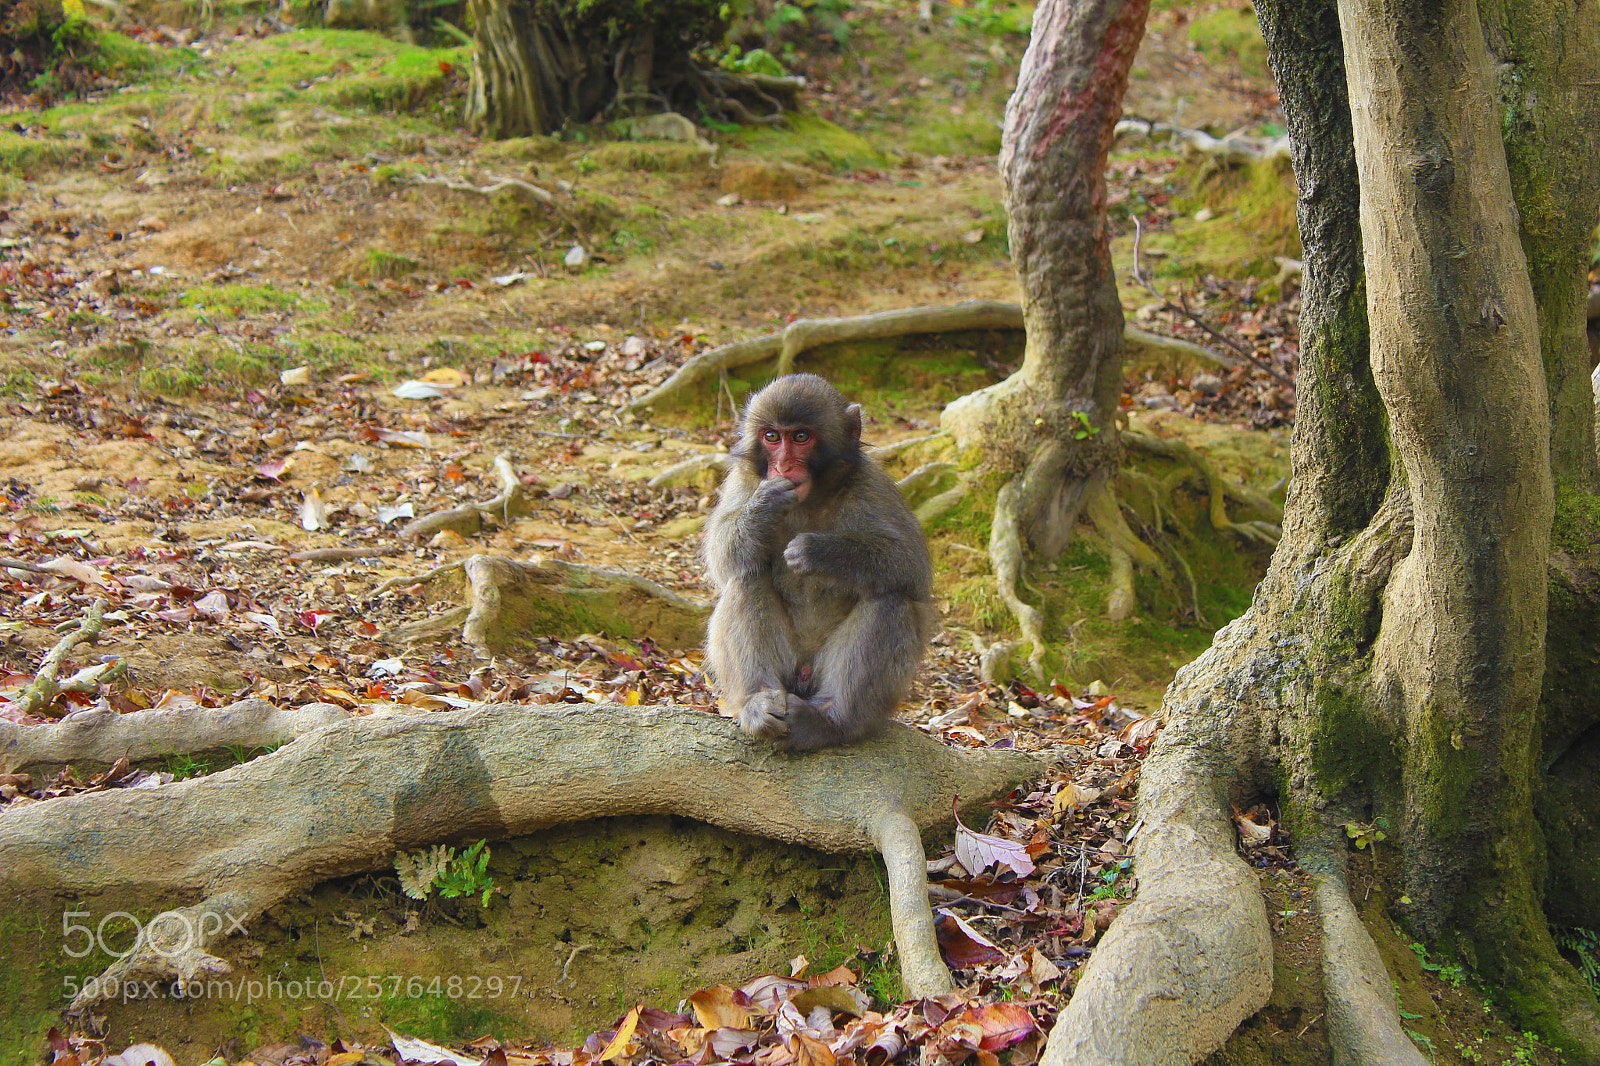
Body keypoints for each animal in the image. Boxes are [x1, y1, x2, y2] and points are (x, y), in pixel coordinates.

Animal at [701, 374, 936, 751]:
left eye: (801, 437)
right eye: (772, 437)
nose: (783, 466)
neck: (809, 499)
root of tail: (804, 675)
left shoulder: (871, 484)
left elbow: (910, 564)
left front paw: (817, 551)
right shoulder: (744, 477)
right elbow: (721, 554)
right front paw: (764, 506)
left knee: (890, 598)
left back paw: (829, 719)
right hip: (787, 672)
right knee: (746, 576)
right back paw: (758, 702)